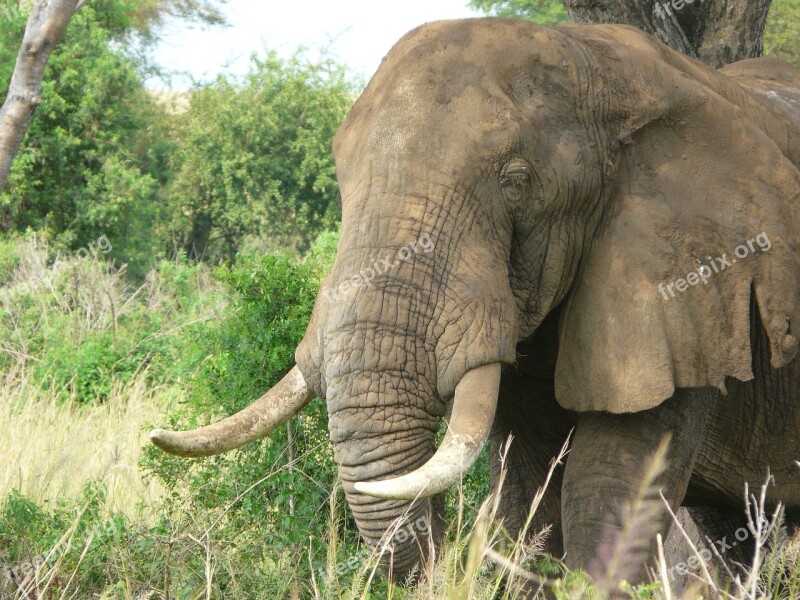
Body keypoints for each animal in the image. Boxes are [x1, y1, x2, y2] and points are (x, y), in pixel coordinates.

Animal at [148, 17, 800, 592]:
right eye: (341, 178)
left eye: (516, 181)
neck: (594, 61)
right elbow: (530, 487)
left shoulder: (689, 285)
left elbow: (606, 491)